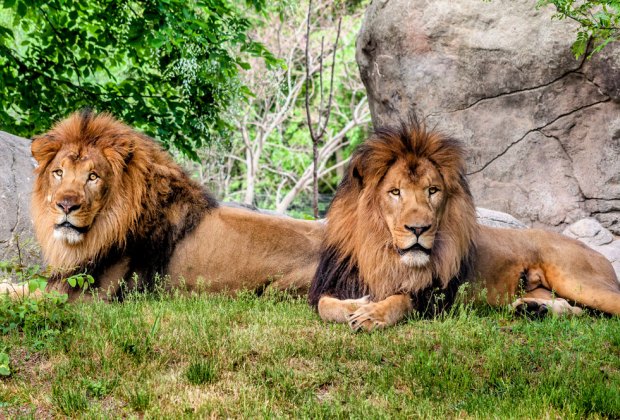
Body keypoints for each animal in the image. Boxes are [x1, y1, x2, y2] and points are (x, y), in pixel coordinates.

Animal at [310, 120, 620, 330]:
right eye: (395, 192)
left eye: (432, 191)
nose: (418, 229)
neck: (383, 253)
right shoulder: (331, 284)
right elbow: (325, 305)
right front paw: (358, 304)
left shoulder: (437, 297)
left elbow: (401, 300)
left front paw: (371, 314)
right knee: (577, 310)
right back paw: (533, 310)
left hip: (578, 279)